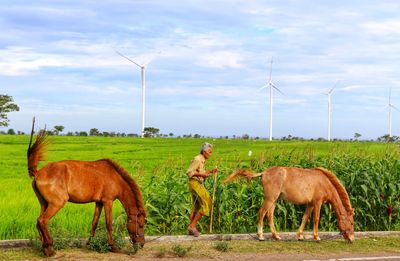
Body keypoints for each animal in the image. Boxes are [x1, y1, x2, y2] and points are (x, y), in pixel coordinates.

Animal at [223, 167, 354, 242]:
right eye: (352, 223)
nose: (352, 239)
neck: (324, 182)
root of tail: (264, 173)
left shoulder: (310, 204)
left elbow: (305, 218)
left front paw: (300, 236)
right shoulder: (317, 203)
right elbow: (316, 219)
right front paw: (316, 237)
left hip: (275, 200)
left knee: (270, 215)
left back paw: (276, 236)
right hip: (270, 199)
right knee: (262, 213)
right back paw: (260, 236)